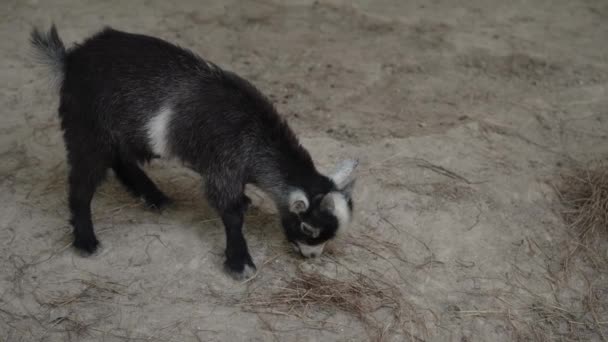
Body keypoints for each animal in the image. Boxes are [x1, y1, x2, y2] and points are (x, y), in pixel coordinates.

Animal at [30, 26, 356, 278]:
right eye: (308, 228)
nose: (312, 257)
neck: (255, 138)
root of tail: (70, 60)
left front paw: (246, 202)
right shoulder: (223, 168)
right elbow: (231, 215)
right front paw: (240, 263)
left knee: (122, 160)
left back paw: (154, 197)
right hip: (87, 129)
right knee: (82, 183)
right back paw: (86, 241)